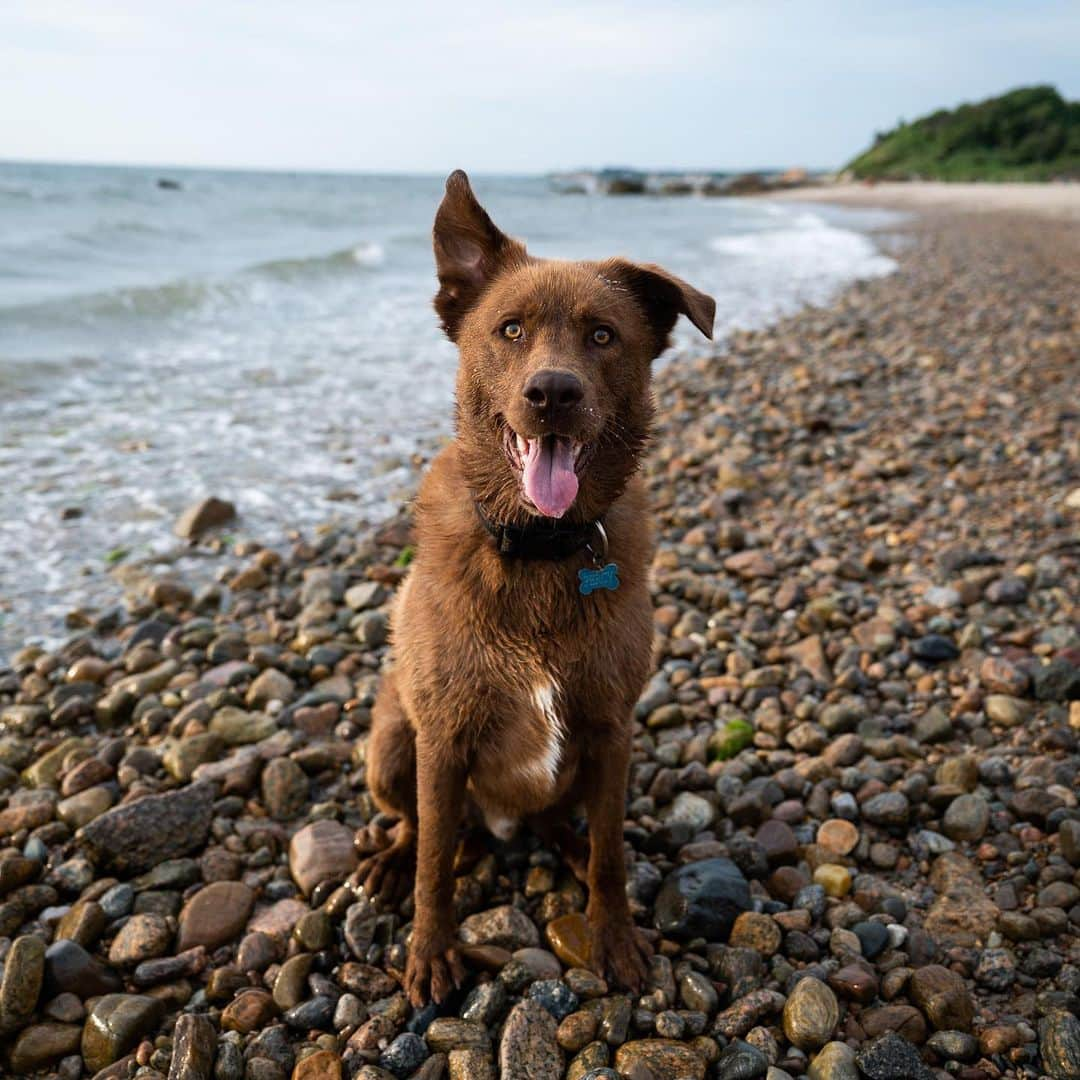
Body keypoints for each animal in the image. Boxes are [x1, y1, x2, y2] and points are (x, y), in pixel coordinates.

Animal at [358, 168, 717, 1002]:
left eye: (603, 335)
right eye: (512, 329)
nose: (553, 393)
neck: (540, 549)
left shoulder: (612, 731)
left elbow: (613, 857)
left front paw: (614, 937)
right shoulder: (442, 738)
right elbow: (434, 867)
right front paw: (430, 952)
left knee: (564, 824)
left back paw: (566, 848)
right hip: (390, 745)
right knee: (418, 826)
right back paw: (391, 859)